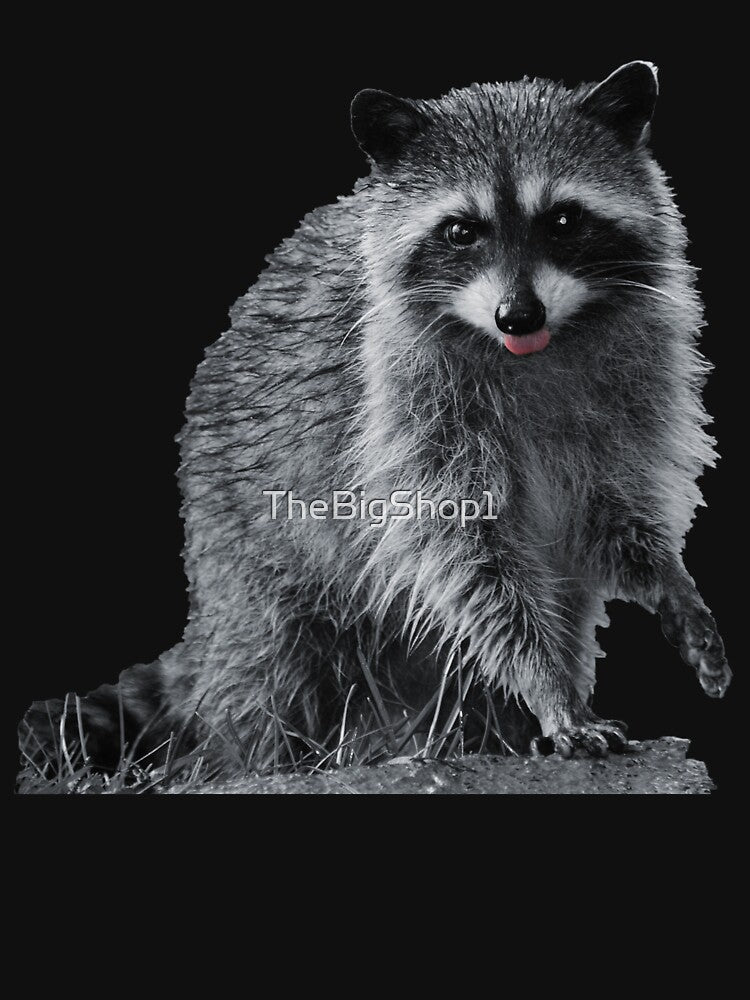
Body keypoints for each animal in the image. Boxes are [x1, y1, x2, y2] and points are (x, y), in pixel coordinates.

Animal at [21, 62, 731, 777]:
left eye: (563, 219)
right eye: (461, 231)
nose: (518, 316)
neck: (535, 351)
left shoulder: (632, 392)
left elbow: (612, 513)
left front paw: (667, 578)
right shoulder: (403, 410)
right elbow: (468, 556)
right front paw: (548, 684)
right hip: (251, 556)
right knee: (268, 680)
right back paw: (253, 759)